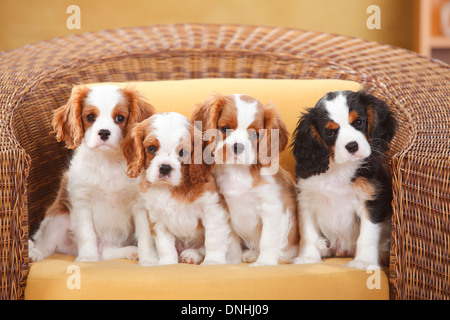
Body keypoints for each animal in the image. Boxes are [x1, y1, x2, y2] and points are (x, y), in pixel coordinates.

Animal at [29, 84, 156, 262]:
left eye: (120, 118)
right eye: (90, 117)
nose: (103, 132)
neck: (108, 161)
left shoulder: (140, 205)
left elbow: (145, 234)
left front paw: (149, 259)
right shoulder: (82, 201)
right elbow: (86, 232)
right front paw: (88, 258)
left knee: (106, 253)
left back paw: (131, 252)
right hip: (58, 218)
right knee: (46, 245)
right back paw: (35, 253)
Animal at [122, 112, 243, 264]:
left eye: (182, 153)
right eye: (151, 148)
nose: (165, 167)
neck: (173, 188)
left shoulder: (213, 210)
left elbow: (213, 240)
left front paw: (212, 261)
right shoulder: (156, 217)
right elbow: (164, 245)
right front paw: (167, 262)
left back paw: (192, 254)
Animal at [191, 95, 298, 268]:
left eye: (255, 135)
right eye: (225, 128)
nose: (238, 147)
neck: (238, 171)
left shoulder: (273, 208)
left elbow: (268, 240)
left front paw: (264, 263)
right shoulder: (226, 210)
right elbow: (232, 243)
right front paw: (232, 262)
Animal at [290, 90, 396, 270]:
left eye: (359, 122)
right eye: (330, 133)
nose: (352, 146)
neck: (339, 169)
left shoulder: (371, 201)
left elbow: (367, 236)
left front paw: (363, 262)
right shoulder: (307, 201)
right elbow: (308, 233)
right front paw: (308, 258)